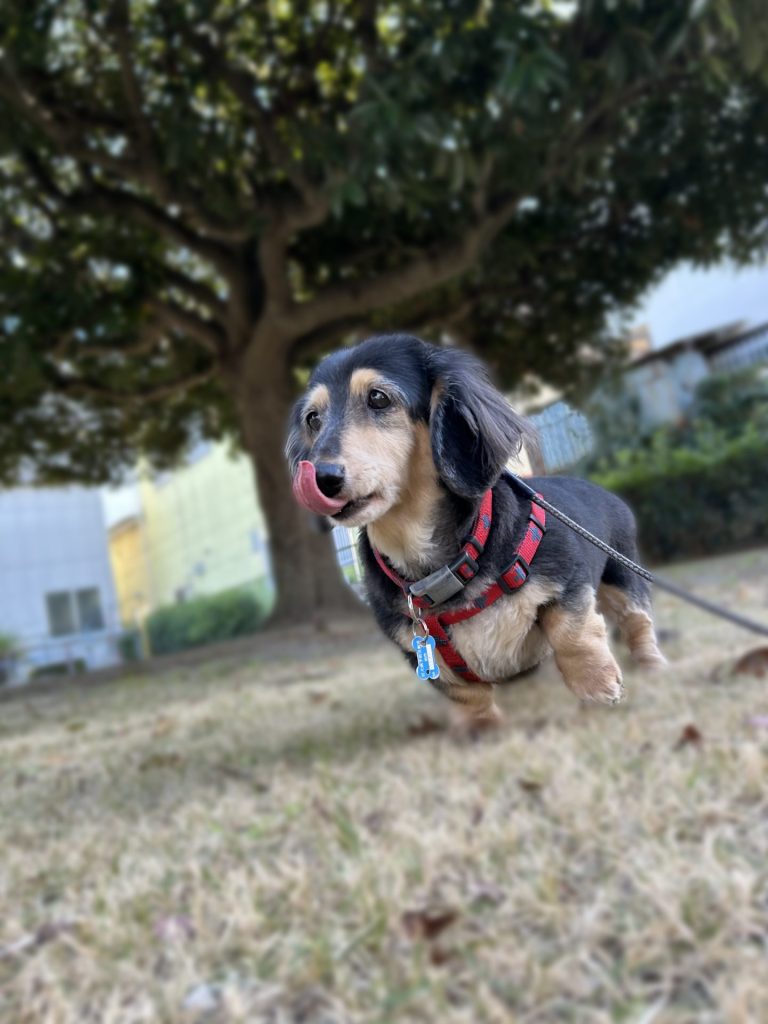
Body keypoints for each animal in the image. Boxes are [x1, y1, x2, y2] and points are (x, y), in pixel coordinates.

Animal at [286, 333, 665, 723]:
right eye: (313, 419)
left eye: (378, 397)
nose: (320, 476)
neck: (441, 570)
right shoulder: (418, 648)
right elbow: (465, 693)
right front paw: (481, 728)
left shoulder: (567, 580)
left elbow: (570, 632)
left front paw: (596, 684)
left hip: (623, 577)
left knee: (638, 623)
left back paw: (653, 669)